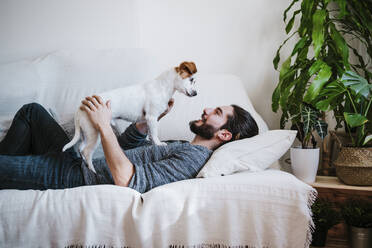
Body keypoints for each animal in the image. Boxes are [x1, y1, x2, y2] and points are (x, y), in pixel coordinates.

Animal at [63, 61, 198, 173]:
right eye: (191, 79)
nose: (196, 93)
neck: (162, 86)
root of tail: (80, 108)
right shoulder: (152, 117)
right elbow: (155, 134)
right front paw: (159, 144)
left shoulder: (149, 120)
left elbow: (150, 133)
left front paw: (151, 142)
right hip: (94, 133)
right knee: (86, 152)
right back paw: (92, 171)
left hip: (85, 133)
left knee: (81, 148)